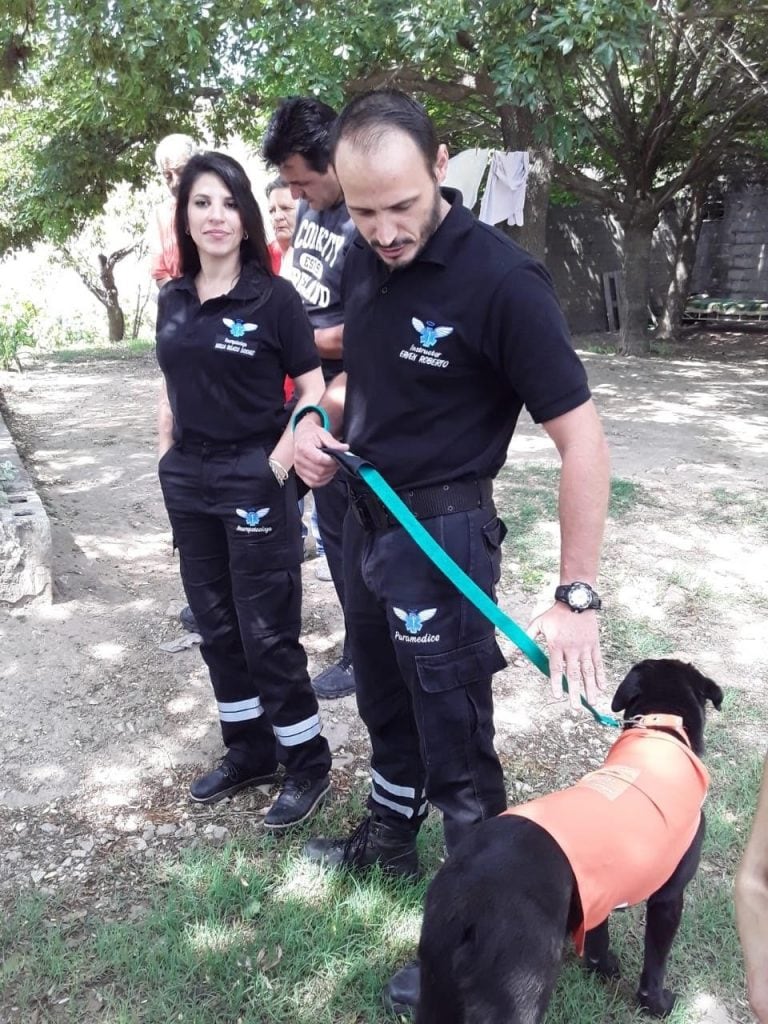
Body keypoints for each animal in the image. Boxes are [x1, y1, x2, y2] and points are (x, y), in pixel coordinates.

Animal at [417, 659, 724, 1019]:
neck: (659, 730)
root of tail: (466, 899)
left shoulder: (599, 893)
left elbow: (597, 941)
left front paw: (603, 967)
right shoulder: (669, 898)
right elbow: (654, 966)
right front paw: (658, 1005)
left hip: (437, 993)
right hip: (519, 994)